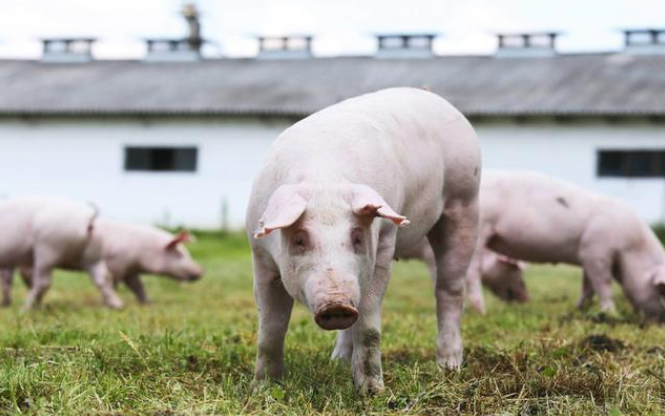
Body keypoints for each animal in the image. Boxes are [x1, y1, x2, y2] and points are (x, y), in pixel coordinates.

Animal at [1, 221, 202, 306]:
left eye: (186, 253)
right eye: (181, 254)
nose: (201, 271)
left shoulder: (130, 270)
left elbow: (138, 286)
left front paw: (148, 303)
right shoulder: (116, 264)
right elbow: (113, 283)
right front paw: (106, 302)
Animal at [246, 87, 480, 394]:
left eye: (357, 237)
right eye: (299, 239)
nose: (337, 305)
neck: (325, 178)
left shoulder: (383, 244)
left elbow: (368, 325)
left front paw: (372, 392)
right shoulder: (261, 256)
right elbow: (270, 328)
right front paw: (263, 389)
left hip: (465, 200)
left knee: (449, 288)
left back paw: (449, 366)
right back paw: (336, 362)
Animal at [466, 170, 664, 318]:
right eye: (660, 289)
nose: (526, 299)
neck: (631, 249)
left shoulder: (587, 257)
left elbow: (588, 287)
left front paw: (579, 310)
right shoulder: (596, 252)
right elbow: (604, 284)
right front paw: (611, 314)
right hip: (481, 228)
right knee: (473, 272)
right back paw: (481, 311)